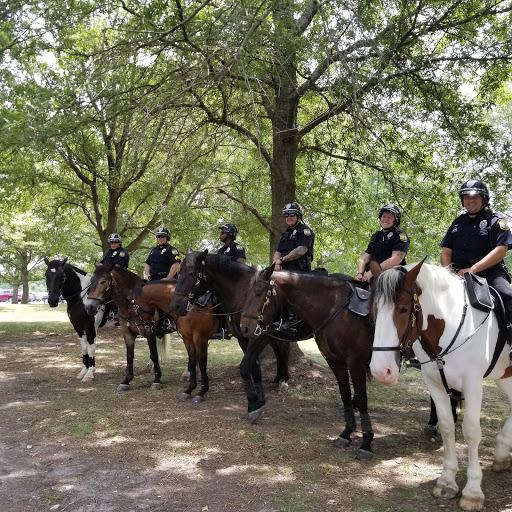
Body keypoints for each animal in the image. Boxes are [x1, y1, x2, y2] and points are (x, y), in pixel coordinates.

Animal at [83, 264, 218, 400]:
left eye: (102, 281)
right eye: (91, 281)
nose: (89, 307)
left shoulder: (150, 333)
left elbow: (154, 355)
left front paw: (157, 380)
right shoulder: (128, 334)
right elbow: (130, 356)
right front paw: (126, 381)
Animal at [170, 250, 292, 422]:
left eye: (192, 273)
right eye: (179, 272)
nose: (176, 306)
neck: (242, 295)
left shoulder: (255, 336)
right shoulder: (242, 338)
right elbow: (253, 366)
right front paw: (256, 402)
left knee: (284, 351)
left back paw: (284, 380)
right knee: (279, 352)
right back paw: (278, 379)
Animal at [239, 264, 376, 460]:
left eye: (259, 293)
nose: (244, 327)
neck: (336, 308)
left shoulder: (355, 363)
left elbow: (363, 400)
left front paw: (366, 443)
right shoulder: (336, 362)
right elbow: (344, 395)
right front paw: (346, 434)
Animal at [368, 262, 512, 510]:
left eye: (404, 309)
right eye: (373, 309)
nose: (381, 370)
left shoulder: (473, 383)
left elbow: (471, 432)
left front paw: (472, 491)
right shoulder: (434, 383)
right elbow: (446, 426)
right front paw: (447, 482)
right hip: (504, 376)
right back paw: (503, 453)